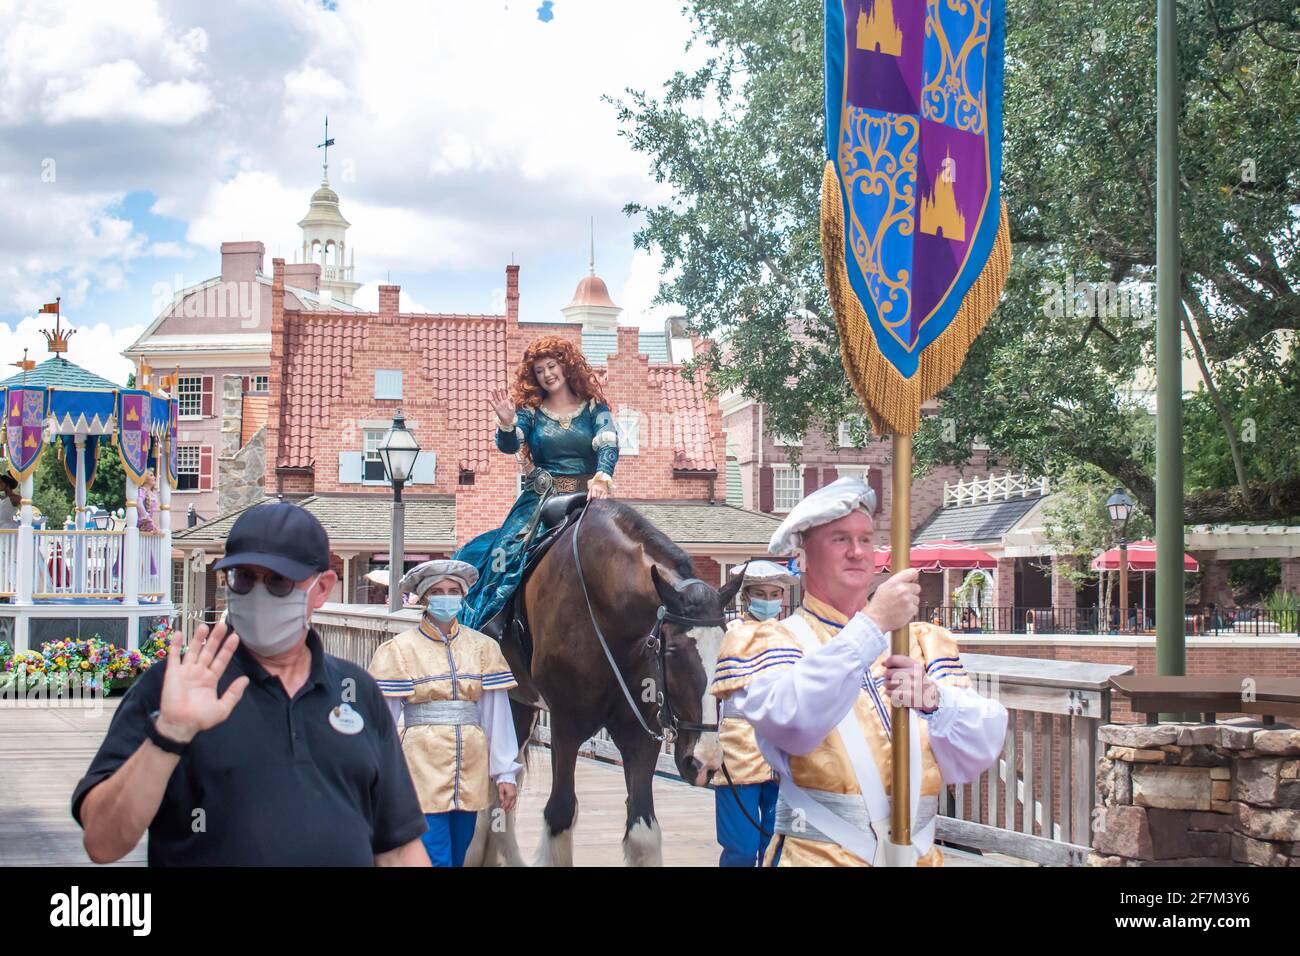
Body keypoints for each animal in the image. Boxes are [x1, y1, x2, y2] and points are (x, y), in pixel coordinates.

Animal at [473, 502, 748, 868]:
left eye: (724, 653)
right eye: (672, 651)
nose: (704, 762)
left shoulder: (640, 730)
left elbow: (643, 829)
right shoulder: (566, 725)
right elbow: (559, 814)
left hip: (521, 706)